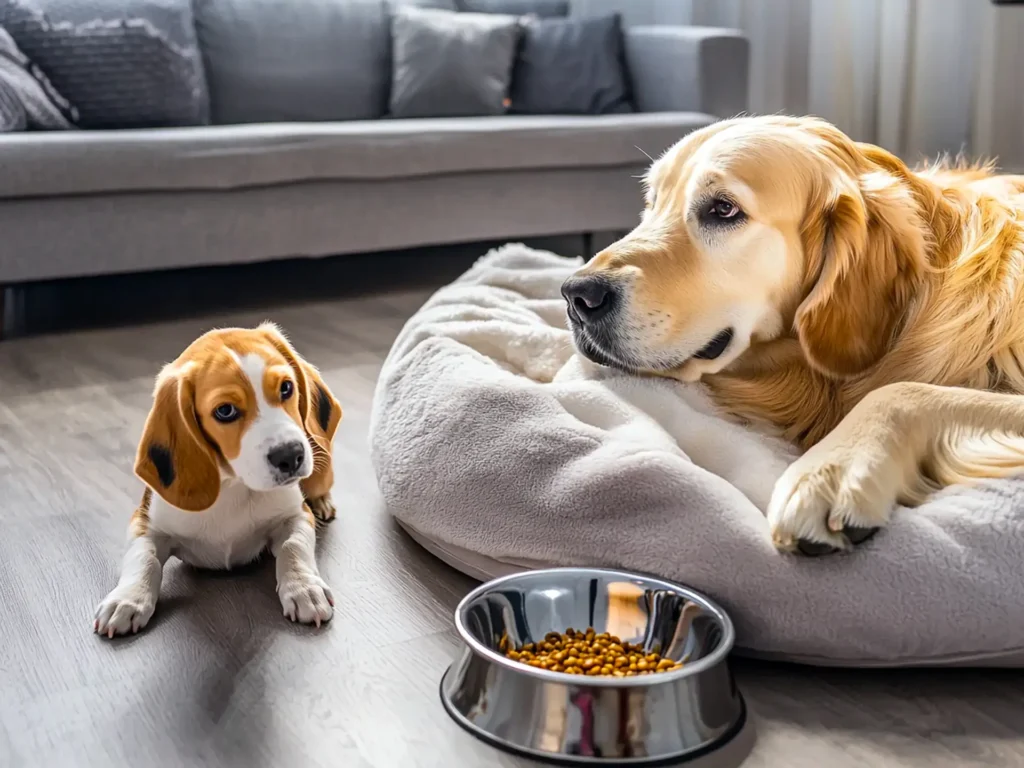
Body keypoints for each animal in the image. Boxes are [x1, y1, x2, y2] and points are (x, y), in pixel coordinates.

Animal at [93, 319, 339, 638]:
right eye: (225, 411)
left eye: (286, 388)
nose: (291, 455)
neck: (234, 486)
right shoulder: (145, 522)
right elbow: (142, 557)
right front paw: (126, 600)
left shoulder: (295, 515)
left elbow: (293, 547)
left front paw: (305, 589)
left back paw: (323, 503)